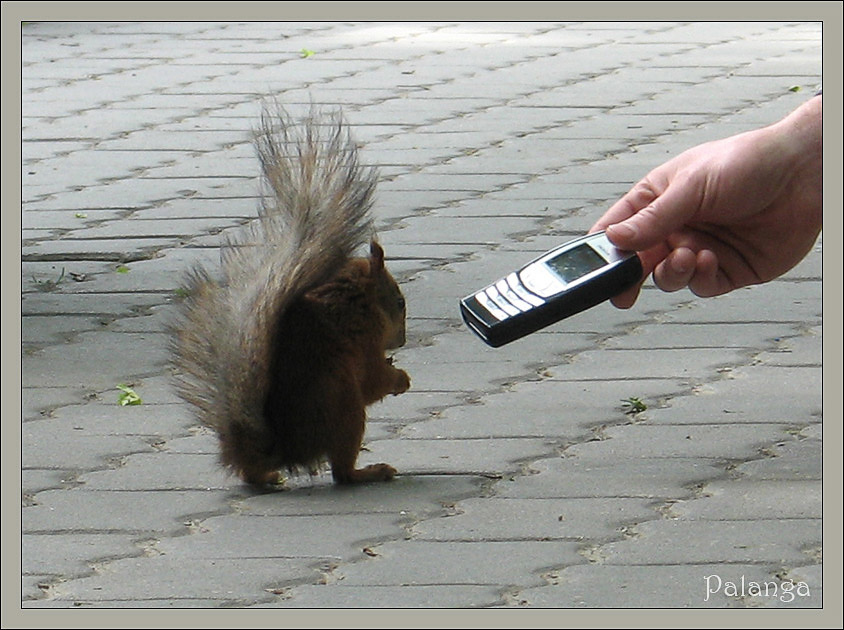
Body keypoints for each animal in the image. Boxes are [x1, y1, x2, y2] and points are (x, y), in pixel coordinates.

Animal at [168, 103, 410, 486]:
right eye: (399, 303)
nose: (401, 341)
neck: (358, 301)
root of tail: (283, 449)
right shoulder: (365, 338)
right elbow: (373, 380)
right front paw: (399, 378)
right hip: (342, 401)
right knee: (341, 471)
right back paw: (369, 472)